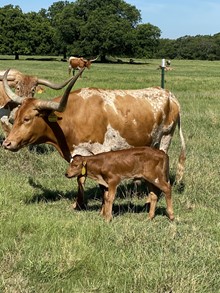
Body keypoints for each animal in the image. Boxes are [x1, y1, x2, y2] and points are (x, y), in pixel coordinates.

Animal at [1, 68, 186, 209]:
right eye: (15, 117)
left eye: (27, 119)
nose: (7, 143)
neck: (71, 116)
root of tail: (169, 94)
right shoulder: (77, 153)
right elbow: (80, 178)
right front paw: (79, 203)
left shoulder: (99, 152)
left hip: (165, 138)